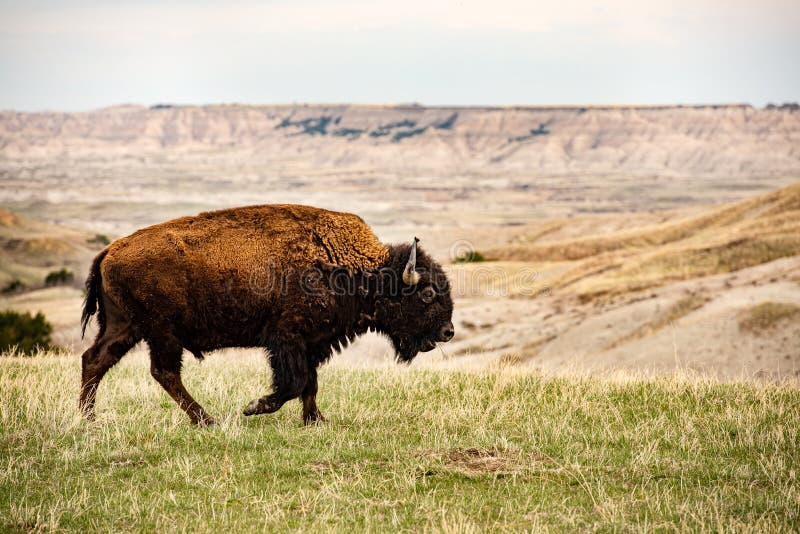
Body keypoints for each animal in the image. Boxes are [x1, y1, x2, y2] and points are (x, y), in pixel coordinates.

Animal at [81, 205, 456, 428]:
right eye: (427, 293)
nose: (448, 331)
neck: (355, 269)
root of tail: (109, 250)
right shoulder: (288, 339)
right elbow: (294, 382)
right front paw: (255, 406)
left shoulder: (312, 343)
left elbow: (310, 383)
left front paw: (316, 420)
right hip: (161, 333)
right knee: (164, 372)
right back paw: (207, 420)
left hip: (124, 326)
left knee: (95, 360)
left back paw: (88, 418)